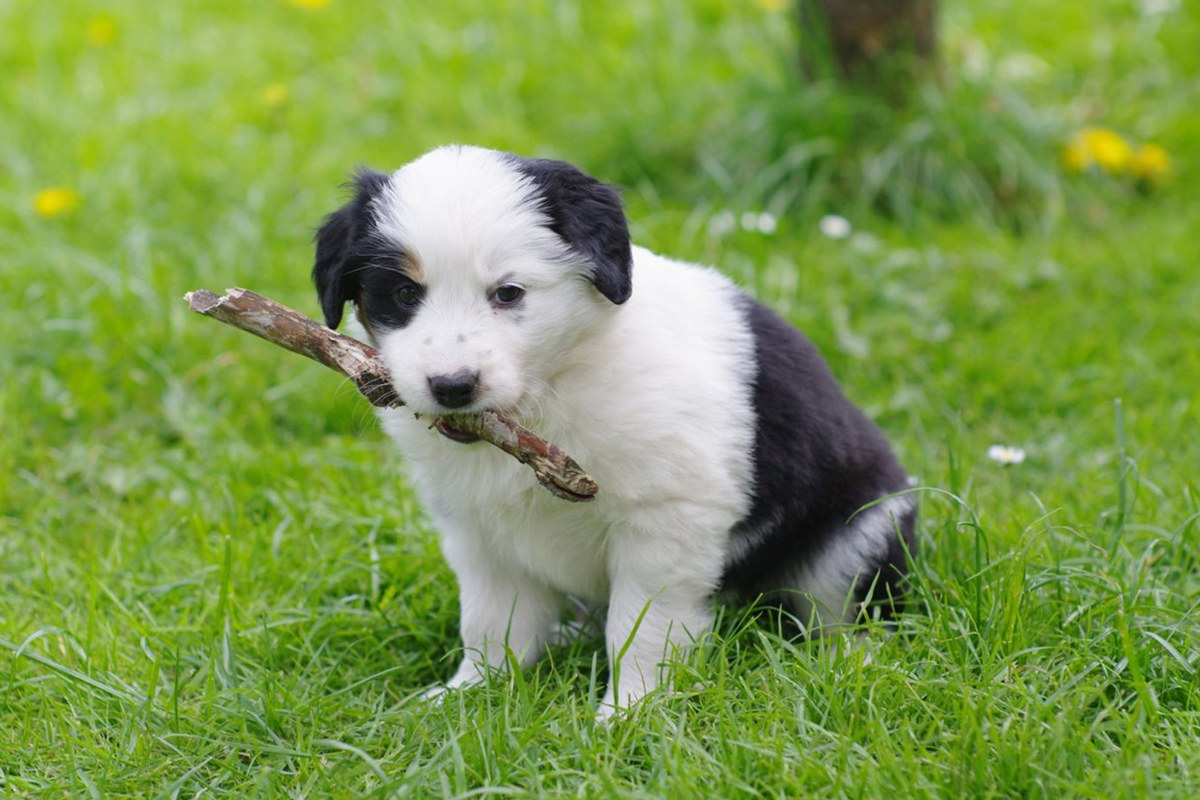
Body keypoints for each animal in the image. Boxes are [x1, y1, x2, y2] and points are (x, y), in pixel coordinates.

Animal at [312, 143, 916, 719]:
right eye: (404, 295)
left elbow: (640, 630)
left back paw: (850, 665)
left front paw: (628, 713)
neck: (554, 391)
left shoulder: (668, 519)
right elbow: (490, 620)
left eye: (508, 293)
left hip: (861, 530)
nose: (452, 386)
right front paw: (472, 692)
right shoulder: (479, 529)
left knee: (849, 609)